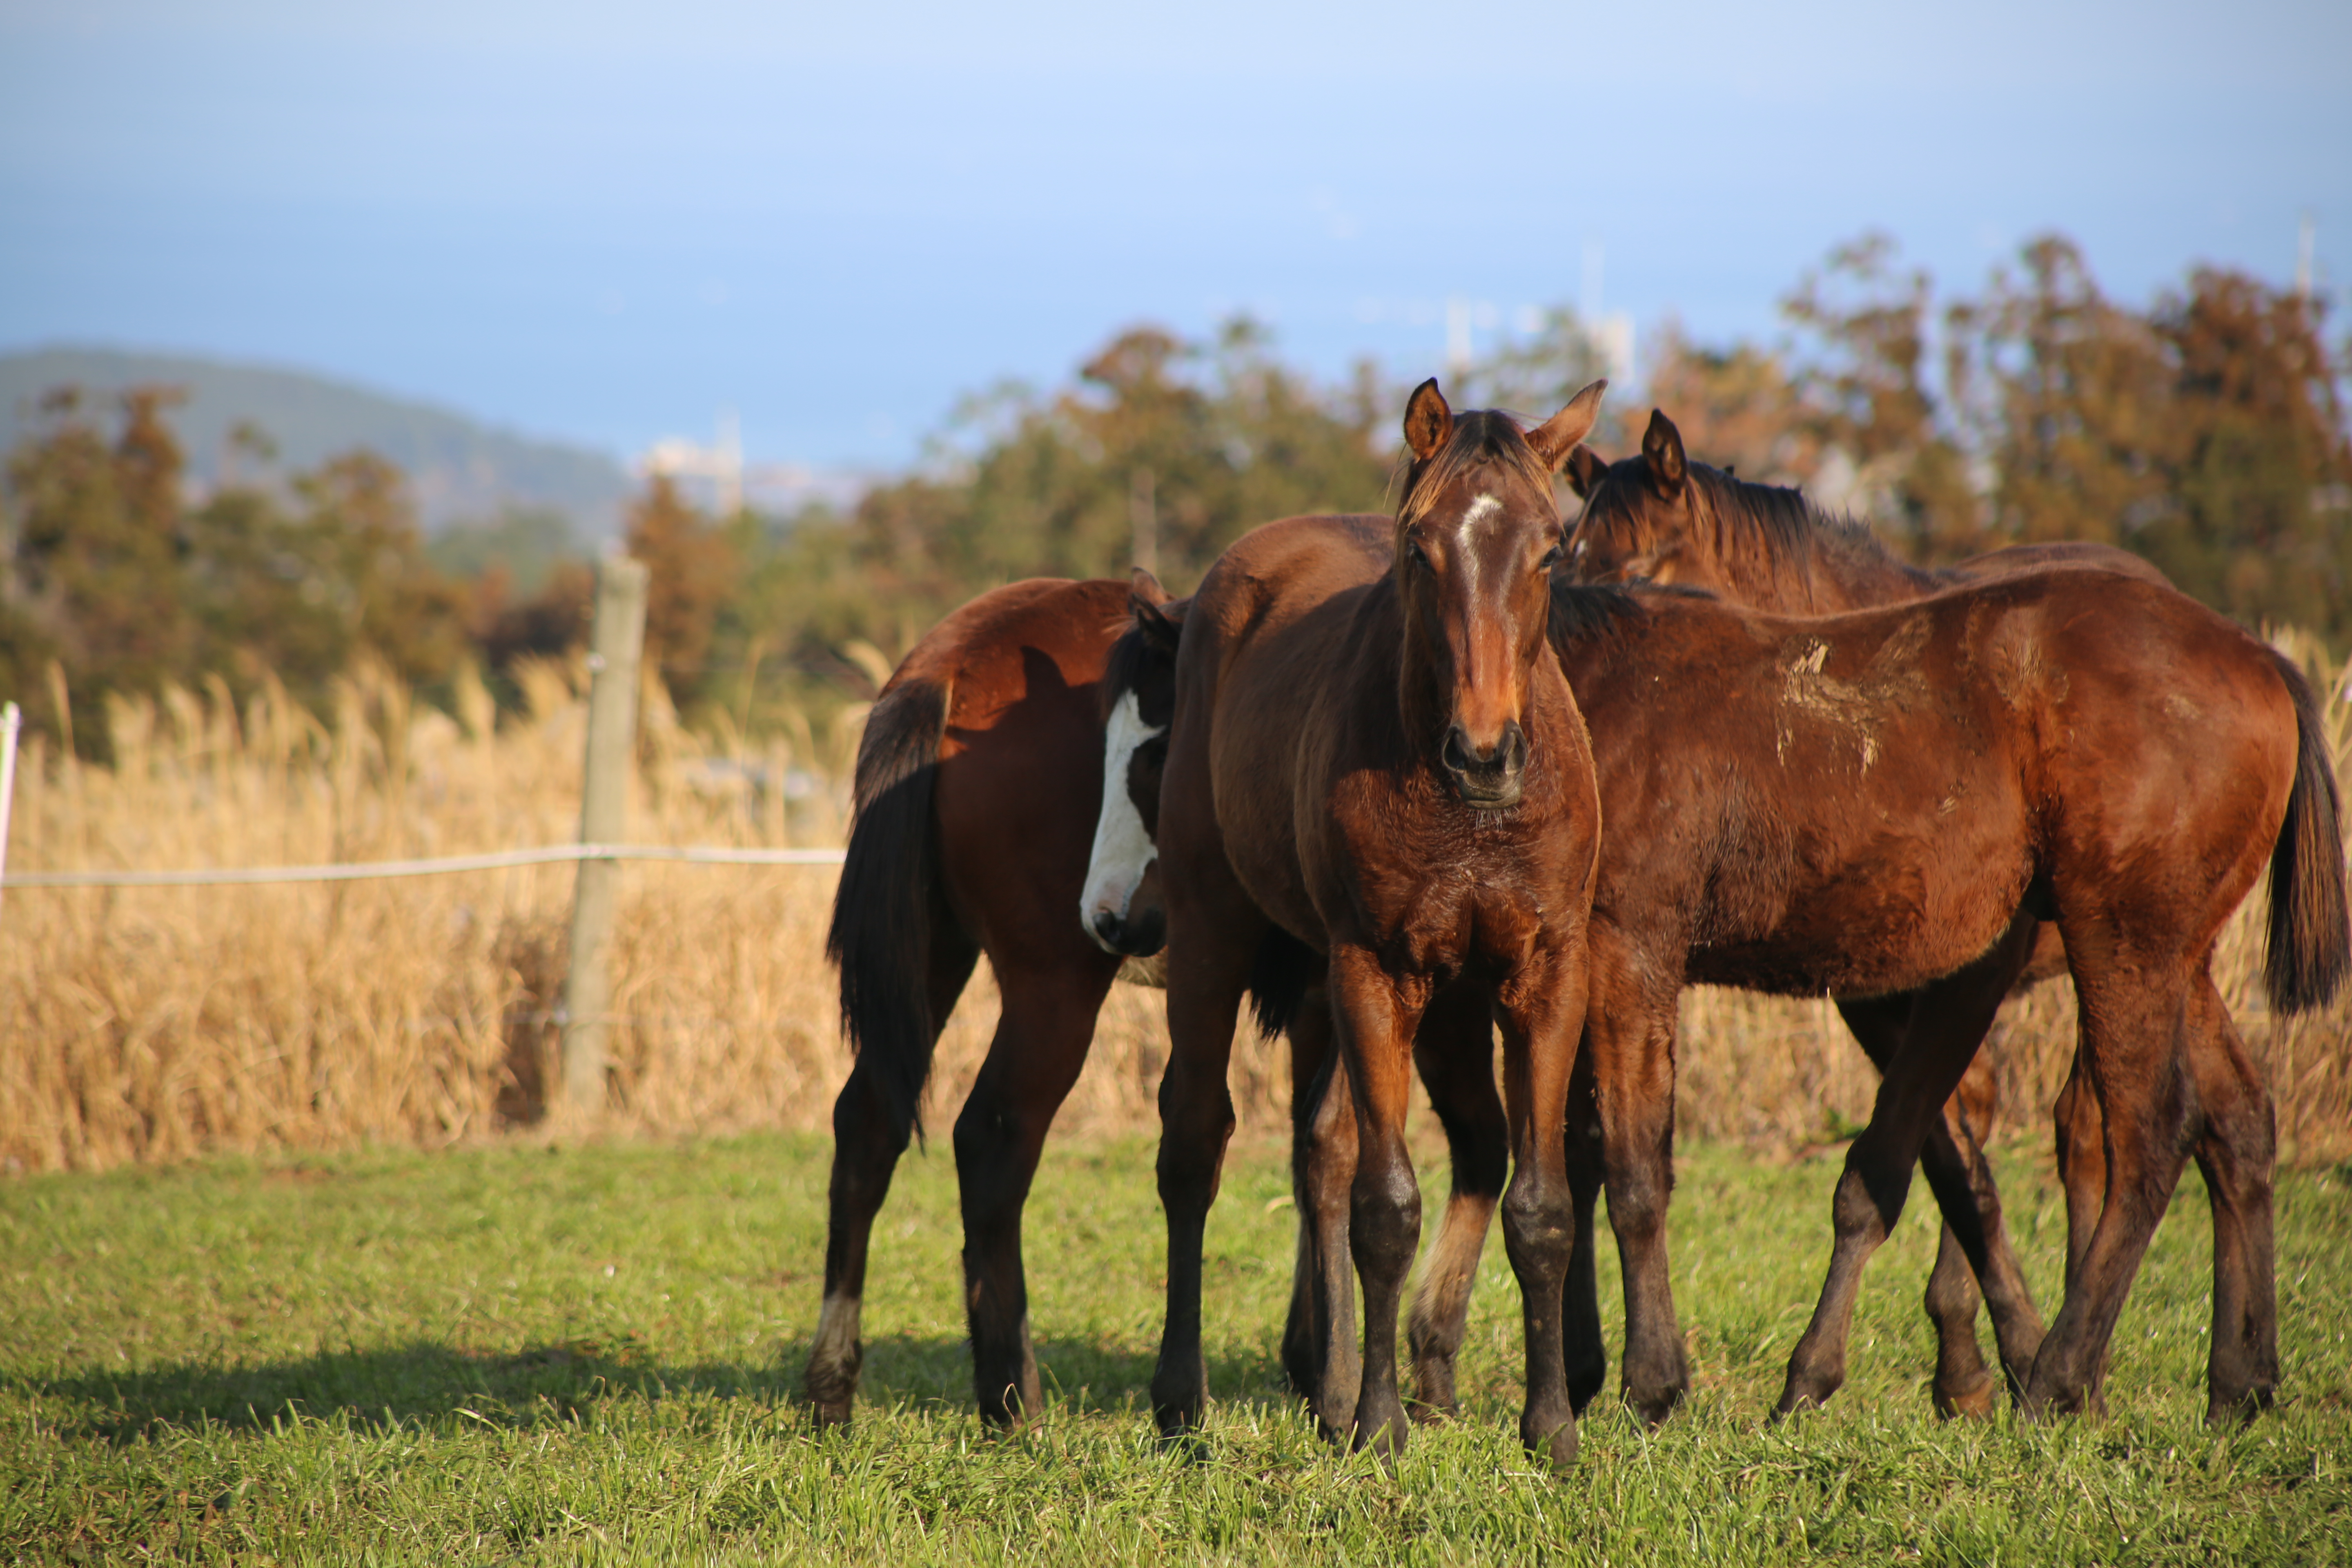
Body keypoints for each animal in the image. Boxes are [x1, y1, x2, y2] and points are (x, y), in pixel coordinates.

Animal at [1147, 383, 1608, 1476]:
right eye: (1418, 550)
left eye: (1550, 550)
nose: (1484, 753)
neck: (1470, 814)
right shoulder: (1377, 971)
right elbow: (1386, 1204)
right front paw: (1380, 1425)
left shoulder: (1540, 976)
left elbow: (1541, 1206)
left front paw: (1550, 1427)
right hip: (1214, 941)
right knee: (1194, 1145)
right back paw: (1185, 1400)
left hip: (1390, 996)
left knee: (1327, 1148)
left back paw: (1333, 1384)